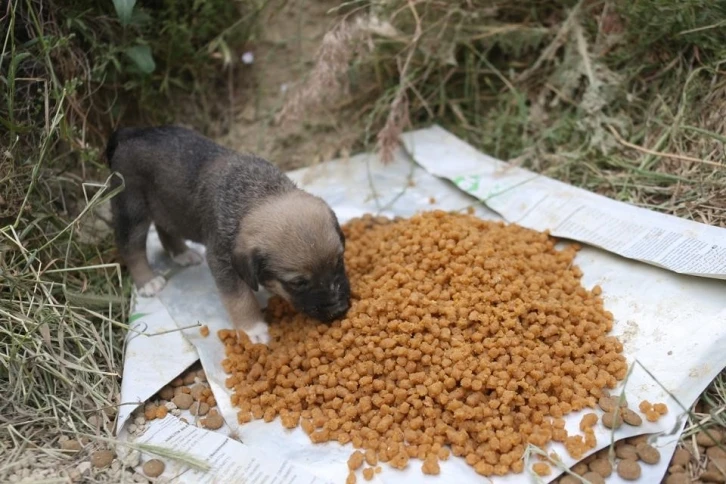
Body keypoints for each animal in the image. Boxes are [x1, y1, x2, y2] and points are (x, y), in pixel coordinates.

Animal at [105, 125, 352, 344]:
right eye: (298, 283)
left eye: (339, 261)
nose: (339, 310)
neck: (258, 194)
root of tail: (129, 133)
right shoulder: (222, 261)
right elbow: (240, 298)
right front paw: (254, 330)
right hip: (132, 208)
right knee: (131, 247)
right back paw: (147, 282)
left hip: (167, 206)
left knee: (165, 229)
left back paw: (182, 253)